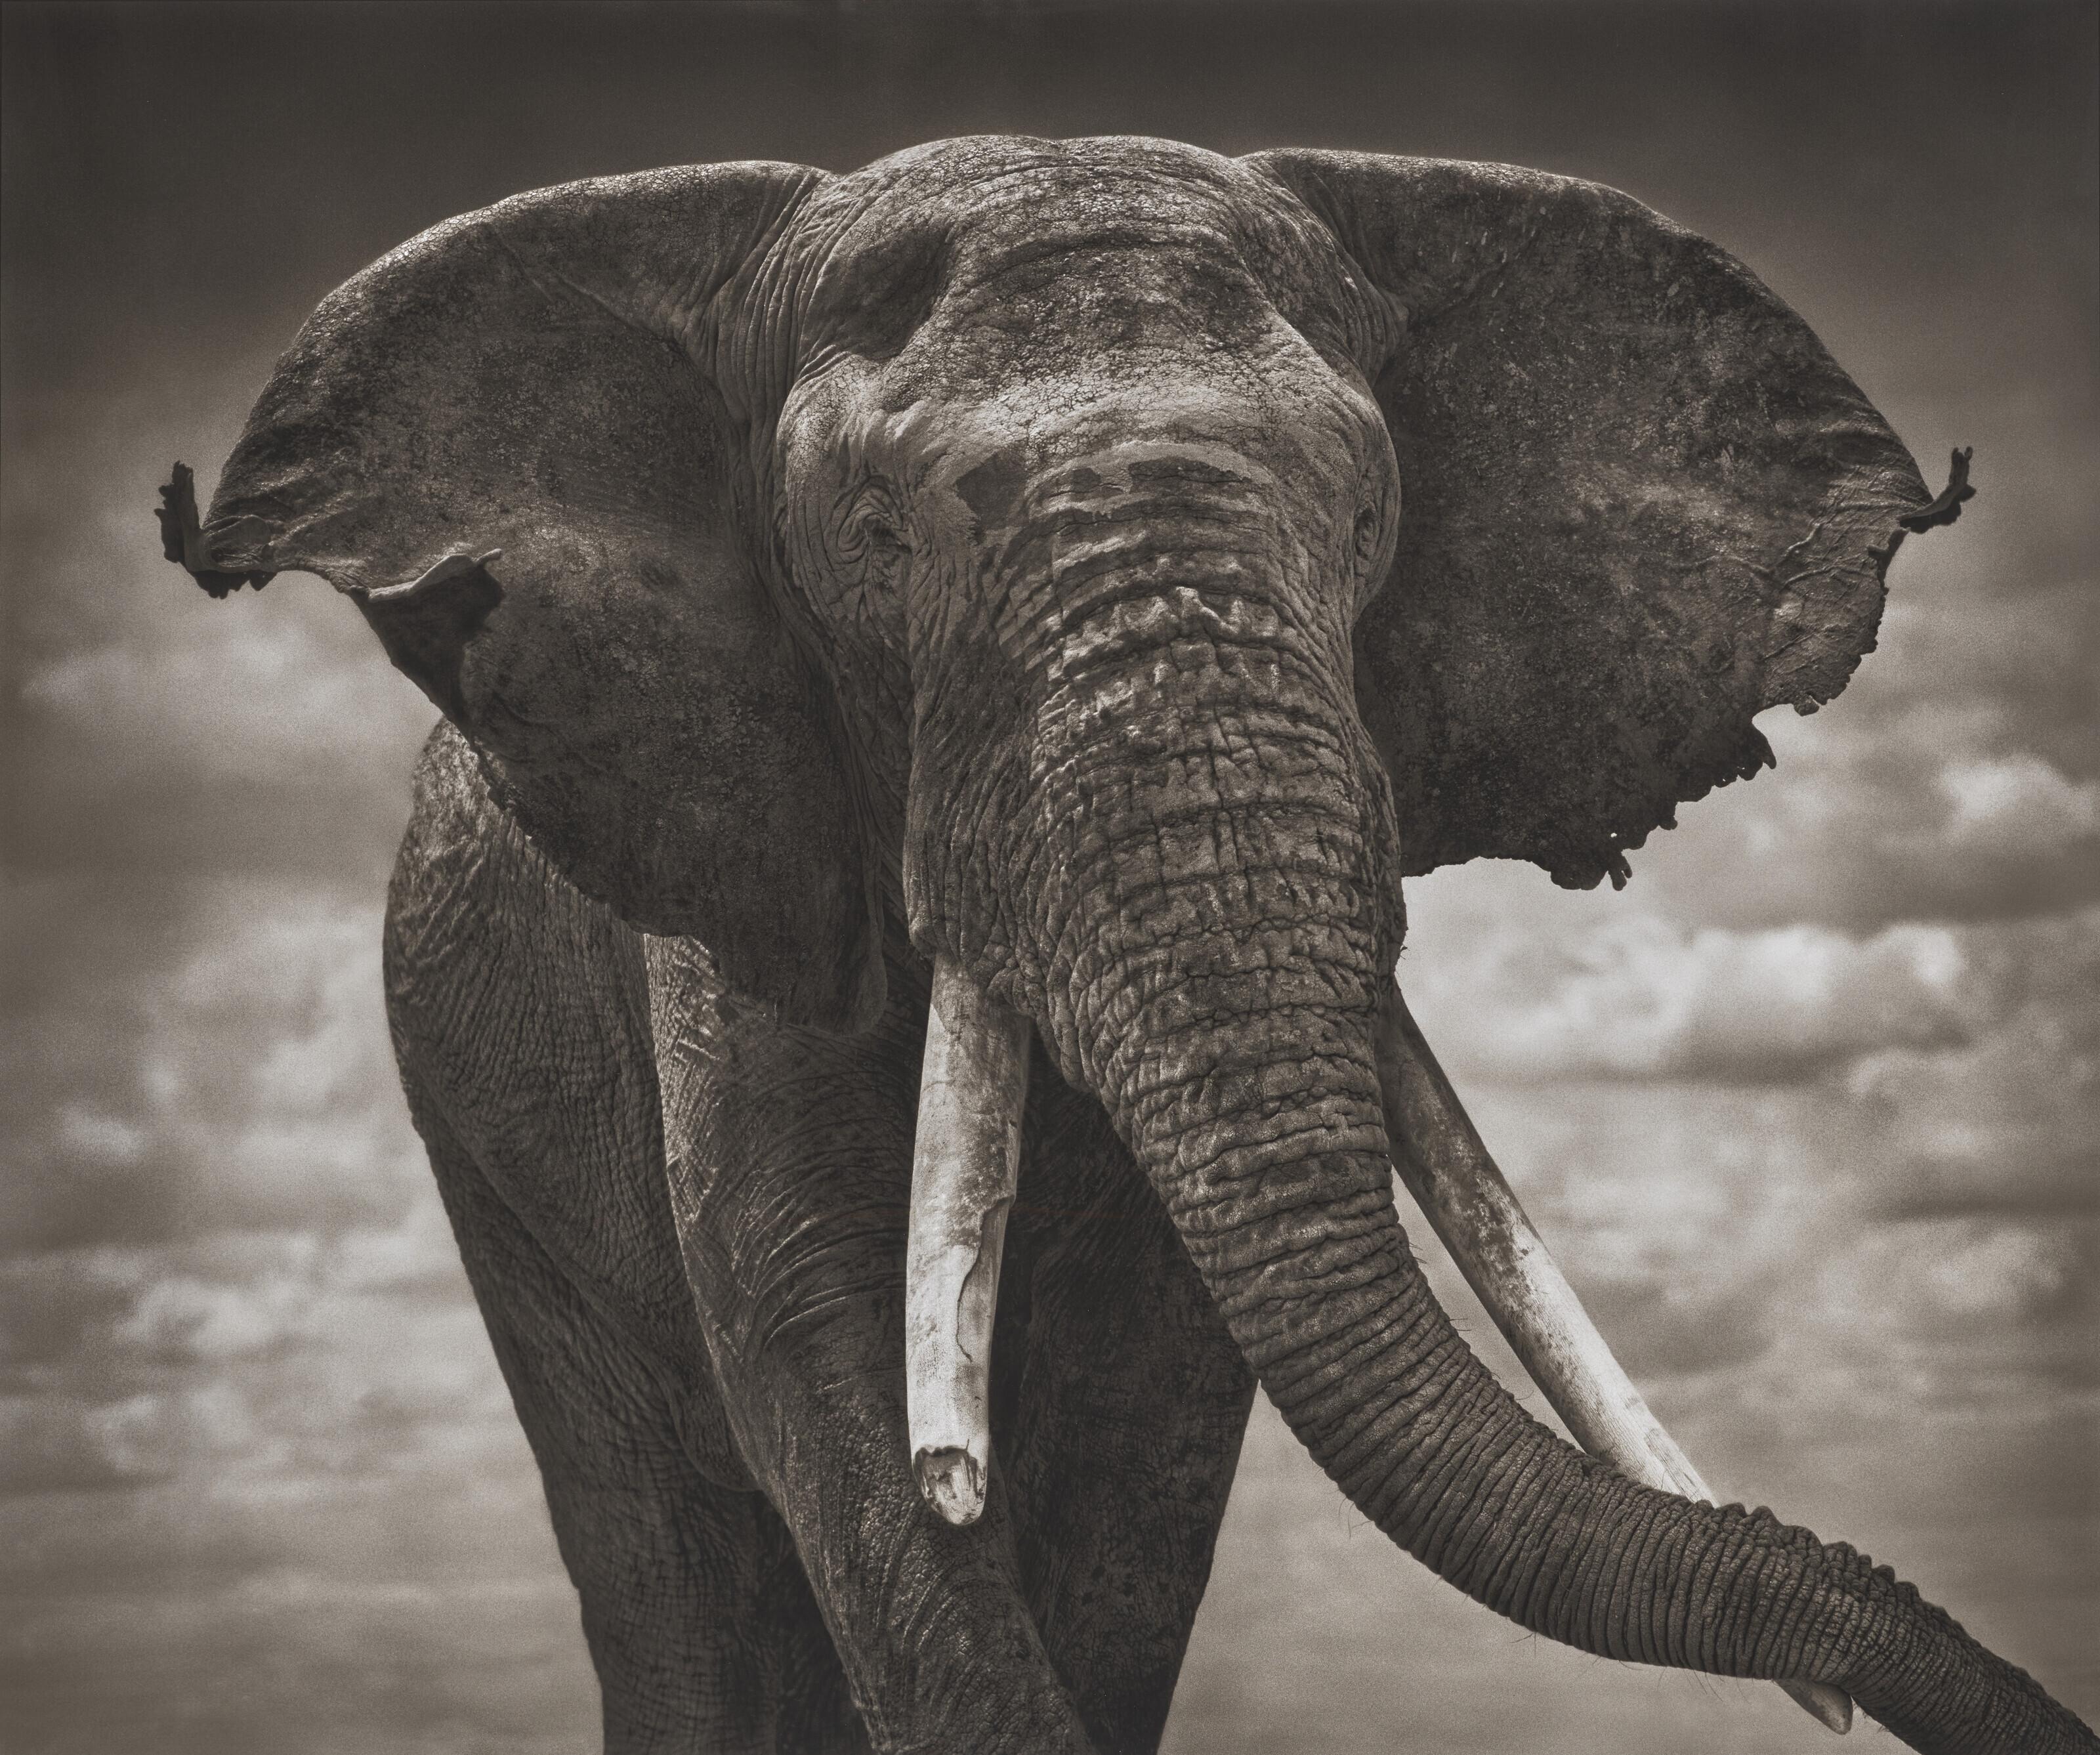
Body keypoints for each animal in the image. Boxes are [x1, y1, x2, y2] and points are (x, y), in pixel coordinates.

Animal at [158, 135, 2094, 1754]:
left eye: (1369, 524)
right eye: (877, 545)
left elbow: (1160, 1401)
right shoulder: (741, 836)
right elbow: (812, 1325)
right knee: (668, 1557)